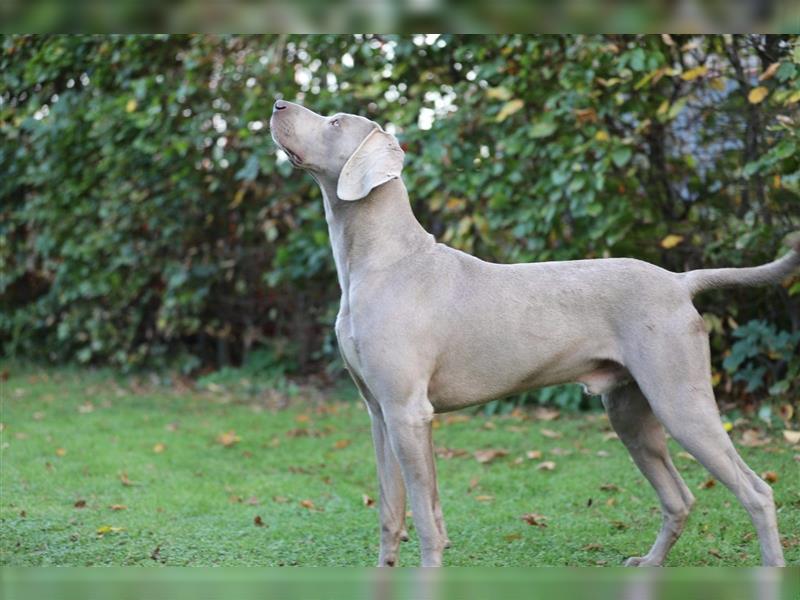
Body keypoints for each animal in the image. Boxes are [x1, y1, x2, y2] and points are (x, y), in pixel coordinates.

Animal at [268, 99, 792, 568]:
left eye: (335, 122)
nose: (277, 104)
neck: (381, 261)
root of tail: (679, 281)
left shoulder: (409, 412)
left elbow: (426, 516)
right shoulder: (379, 413)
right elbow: (389, 514)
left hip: (679, 398)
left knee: (757, 490)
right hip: (629, 410)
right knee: (679, 497)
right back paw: (649, 563)